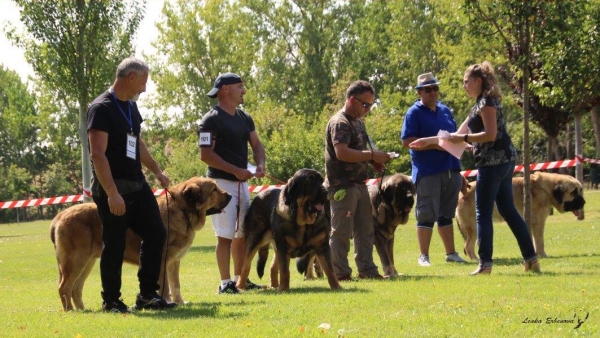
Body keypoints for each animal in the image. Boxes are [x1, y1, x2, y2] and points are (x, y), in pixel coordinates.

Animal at [51, 177, 232, 312]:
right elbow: (164, 285)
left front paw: (180, 302)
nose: (230, 195)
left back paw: (83, 310)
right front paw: (167, 301)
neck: (182, 211)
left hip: (88, 262)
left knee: (76, 288)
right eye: (214, 190)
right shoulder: (162, 259)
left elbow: (176, 285)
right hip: (76, 260)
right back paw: (70, 311)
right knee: (64, 287)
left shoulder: (174, 262)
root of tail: (59, 216)